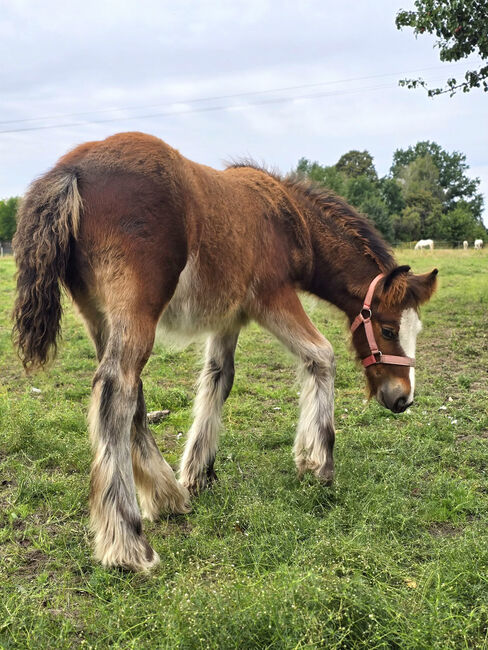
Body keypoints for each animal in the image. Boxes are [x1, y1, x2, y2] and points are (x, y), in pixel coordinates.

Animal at [13, 132, 438, 571]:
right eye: (388, 329)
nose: (402, 397)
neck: (290, 220)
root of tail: (71, 170)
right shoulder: (272, 298)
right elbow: (321, 355)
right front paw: (317, 463)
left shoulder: (229, 318)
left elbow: (219, 378)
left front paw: (198, 473)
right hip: (136, 314)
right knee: (117, 392)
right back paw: (128, 542)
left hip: (100, 317)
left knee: (129, 392)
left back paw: (166, 495)